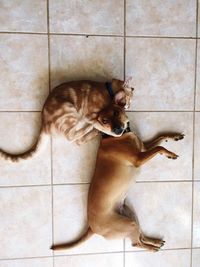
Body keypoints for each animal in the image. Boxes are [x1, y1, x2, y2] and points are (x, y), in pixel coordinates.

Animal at [0, 78, 134, 162]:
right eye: (129, 99)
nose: (129, 106)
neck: (107, 89)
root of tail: (44, 124)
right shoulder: (91, 115)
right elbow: (99, 124)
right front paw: (113, 131)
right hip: (69, 110)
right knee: (72, 136)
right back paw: (91, 129)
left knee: (77, 139)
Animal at [51, 127, 184, 253]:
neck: (113, 137)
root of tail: (92, 228)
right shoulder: (138, 158)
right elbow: (159, 147)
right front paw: (170, 153)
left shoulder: (143, 148)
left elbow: (160, 137)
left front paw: (174, 137)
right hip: (129, 224)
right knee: (136, 243)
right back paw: (152, 248)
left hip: (132, 216)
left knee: (141, 236)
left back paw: (154, 241)